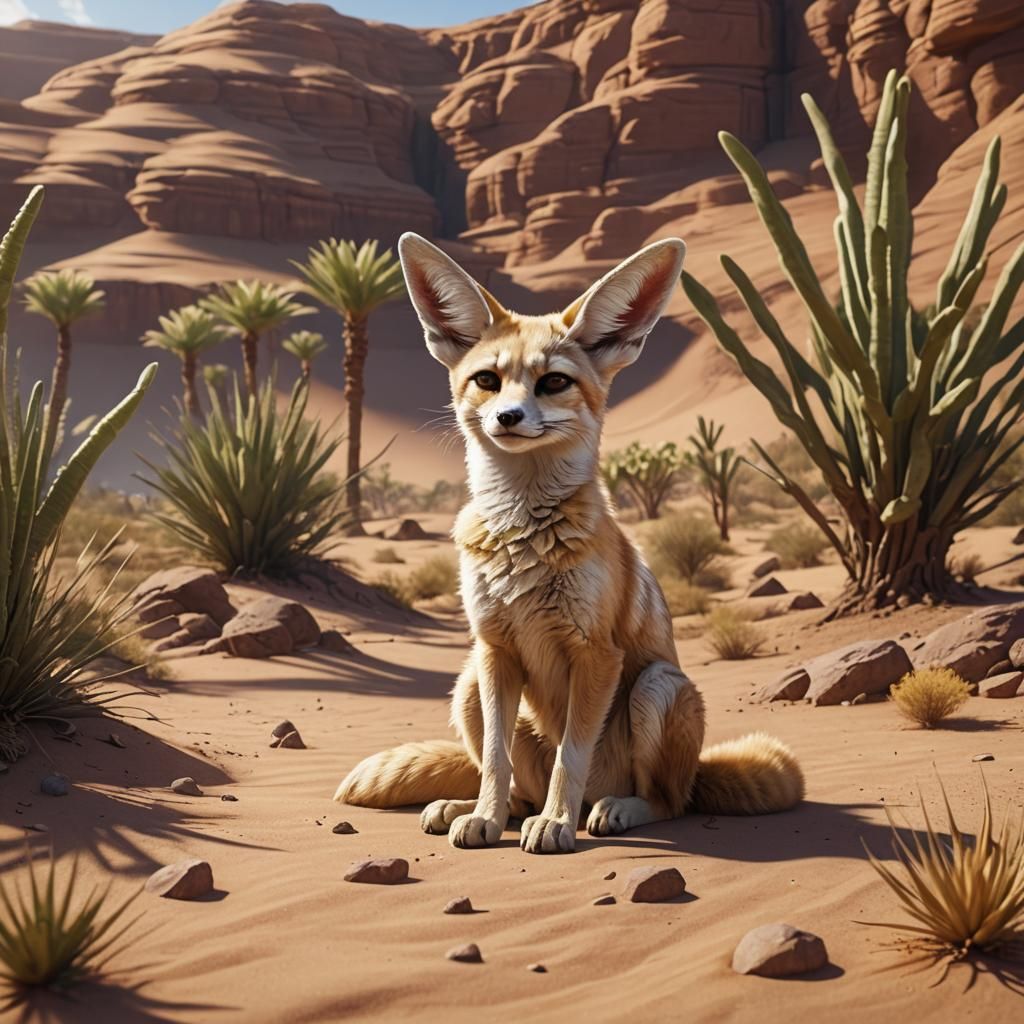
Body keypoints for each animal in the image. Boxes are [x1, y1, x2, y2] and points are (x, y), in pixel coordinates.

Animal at [334, 232, 804, 854]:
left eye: (553, 381)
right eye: (487, 380)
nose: (508, 417)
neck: (524, 537)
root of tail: (699, 769)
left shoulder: (596, 653)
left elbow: (570, 757)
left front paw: (555, 825)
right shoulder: (495, 648)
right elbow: (495, 761)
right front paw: (486, 816)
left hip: (656, 687)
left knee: (668, 801)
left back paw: (606, 810)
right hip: (467, 683)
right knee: (517, 787)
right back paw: (479, 810)